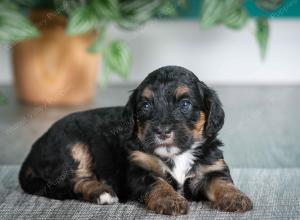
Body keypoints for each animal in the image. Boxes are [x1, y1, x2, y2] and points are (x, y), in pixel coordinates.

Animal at [19, 65, 253, 215]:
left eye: (185, 104)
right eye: (146, 105)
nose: (162, 131)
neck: (177, 154)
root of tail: (32, 152)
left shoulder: (212, 168)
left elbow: (223, 183)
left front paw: (237, 198)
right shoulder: (139, 171)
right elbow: (158, 183)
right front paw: (170, 200)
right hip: (73, 147)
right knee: (76, 181)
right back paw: (102, 192)